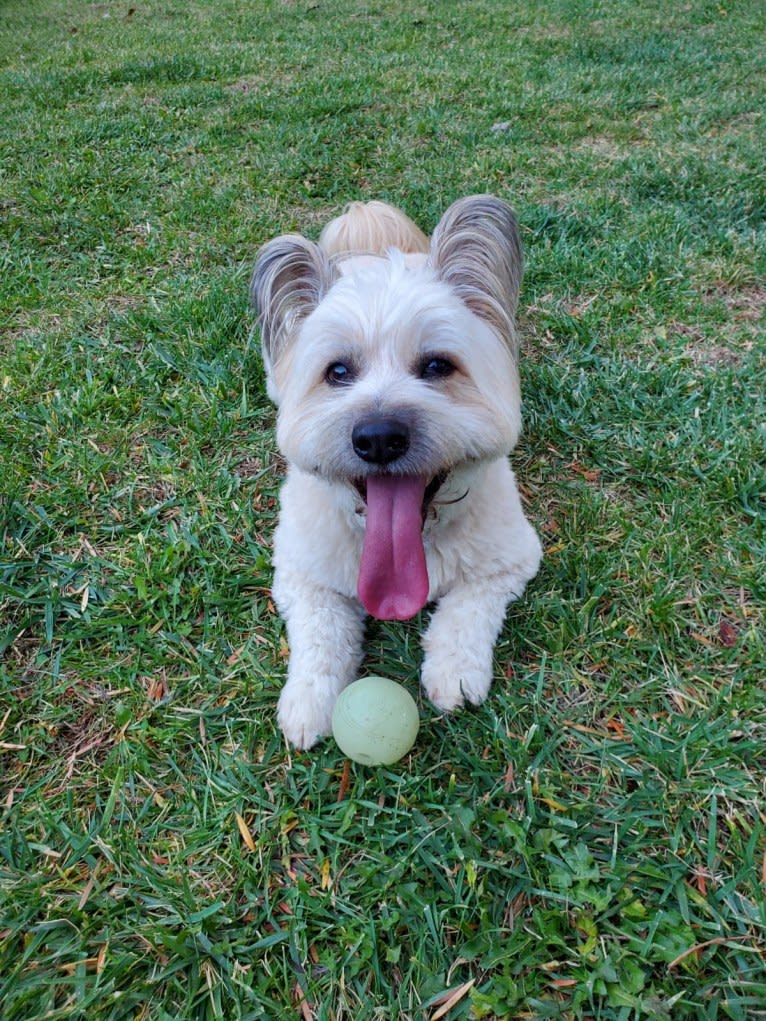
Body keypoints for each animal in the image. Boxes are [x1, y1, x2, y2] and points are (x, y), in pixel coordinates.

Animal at [249, 195, 543, 751]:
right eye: (338, 372)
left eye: (437, 366)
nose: (379, 437)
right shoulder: (301, 572)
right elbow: (321, 634)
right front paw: (309, 701)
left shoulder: (510, 561)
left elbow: (466, 612)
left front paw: (454, 672)